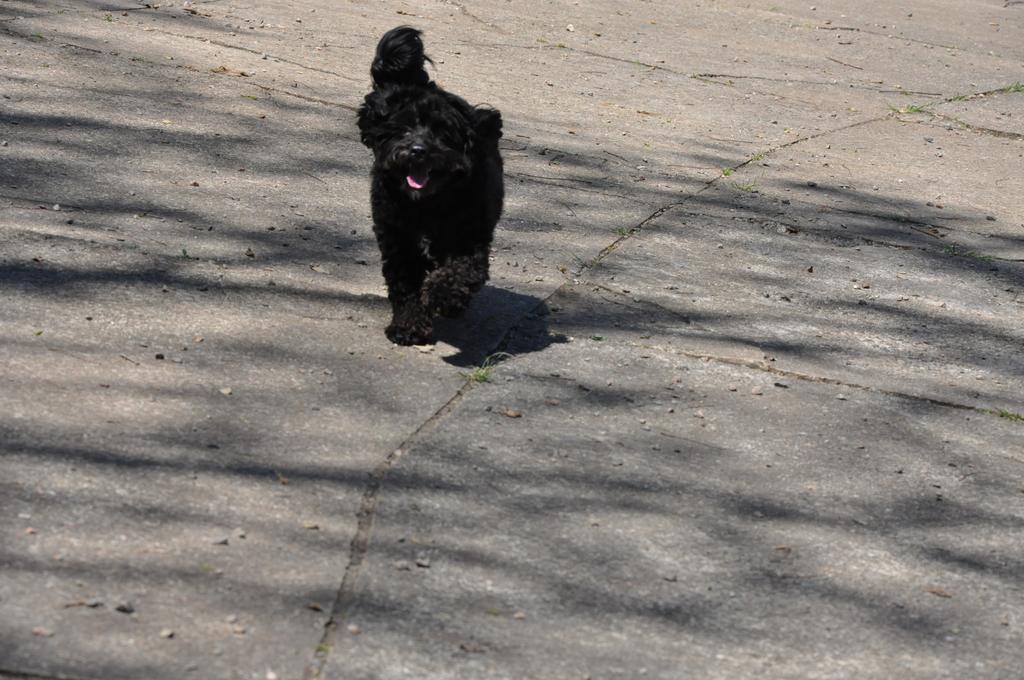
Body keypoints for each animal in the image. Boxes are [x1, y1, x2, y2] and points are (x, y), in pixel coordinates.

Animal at [357, 26, 504, 345]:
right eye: (403, 128)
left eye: (443, 132)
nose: (417, 150)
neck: (428, 204)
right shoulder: (398, 240)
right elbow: (405, 286)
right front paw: (409, 325)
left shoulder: (469, 236)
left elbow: (462, 271)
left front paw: (444, 297)